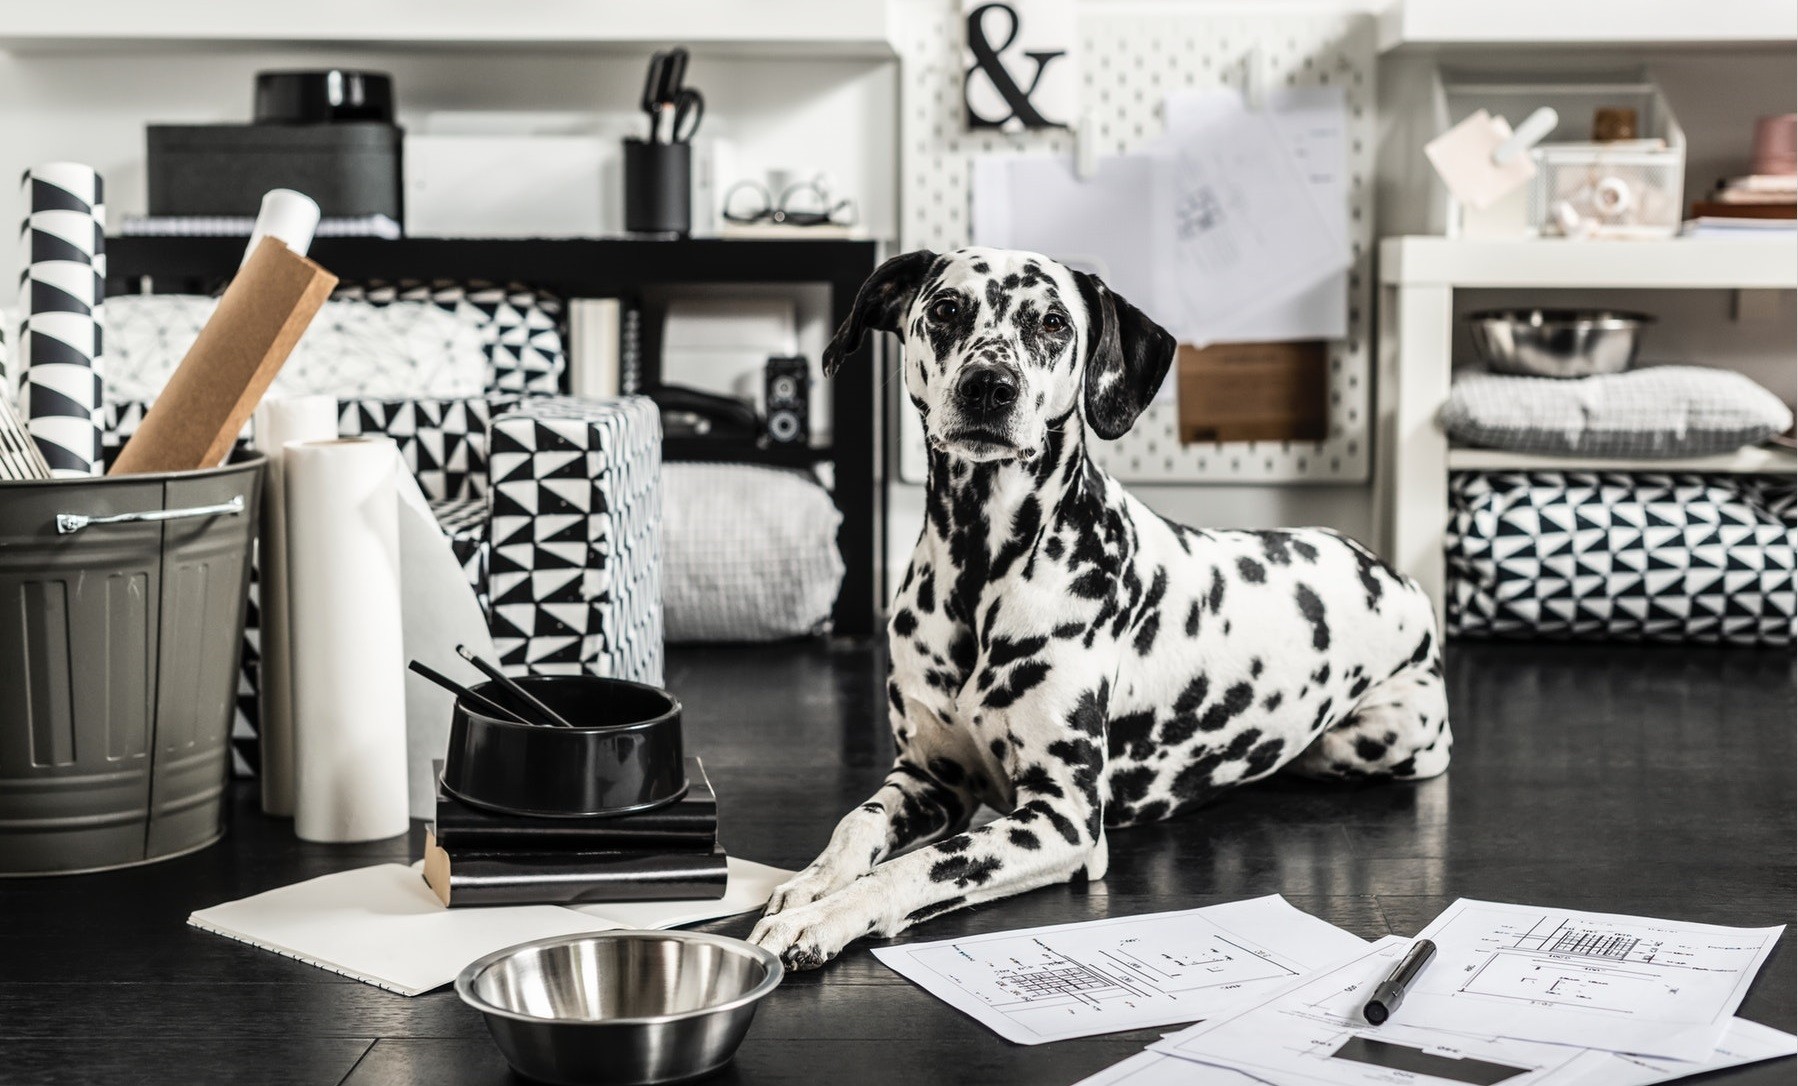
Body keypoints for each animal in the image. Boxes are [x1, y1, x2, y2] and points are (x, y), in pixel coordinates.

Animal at [749, 248, 1450, 970]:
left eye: (1054, 323)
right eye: (945, 308)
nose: (989, 386)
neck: (979, 565)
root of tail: (1400, 578)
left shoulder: (1063, 820)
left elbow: (922, 865)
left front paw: (823, 918)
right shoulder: (925, 777)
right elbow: (855, 825)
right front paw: (809, 885)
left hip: (1380, 738)